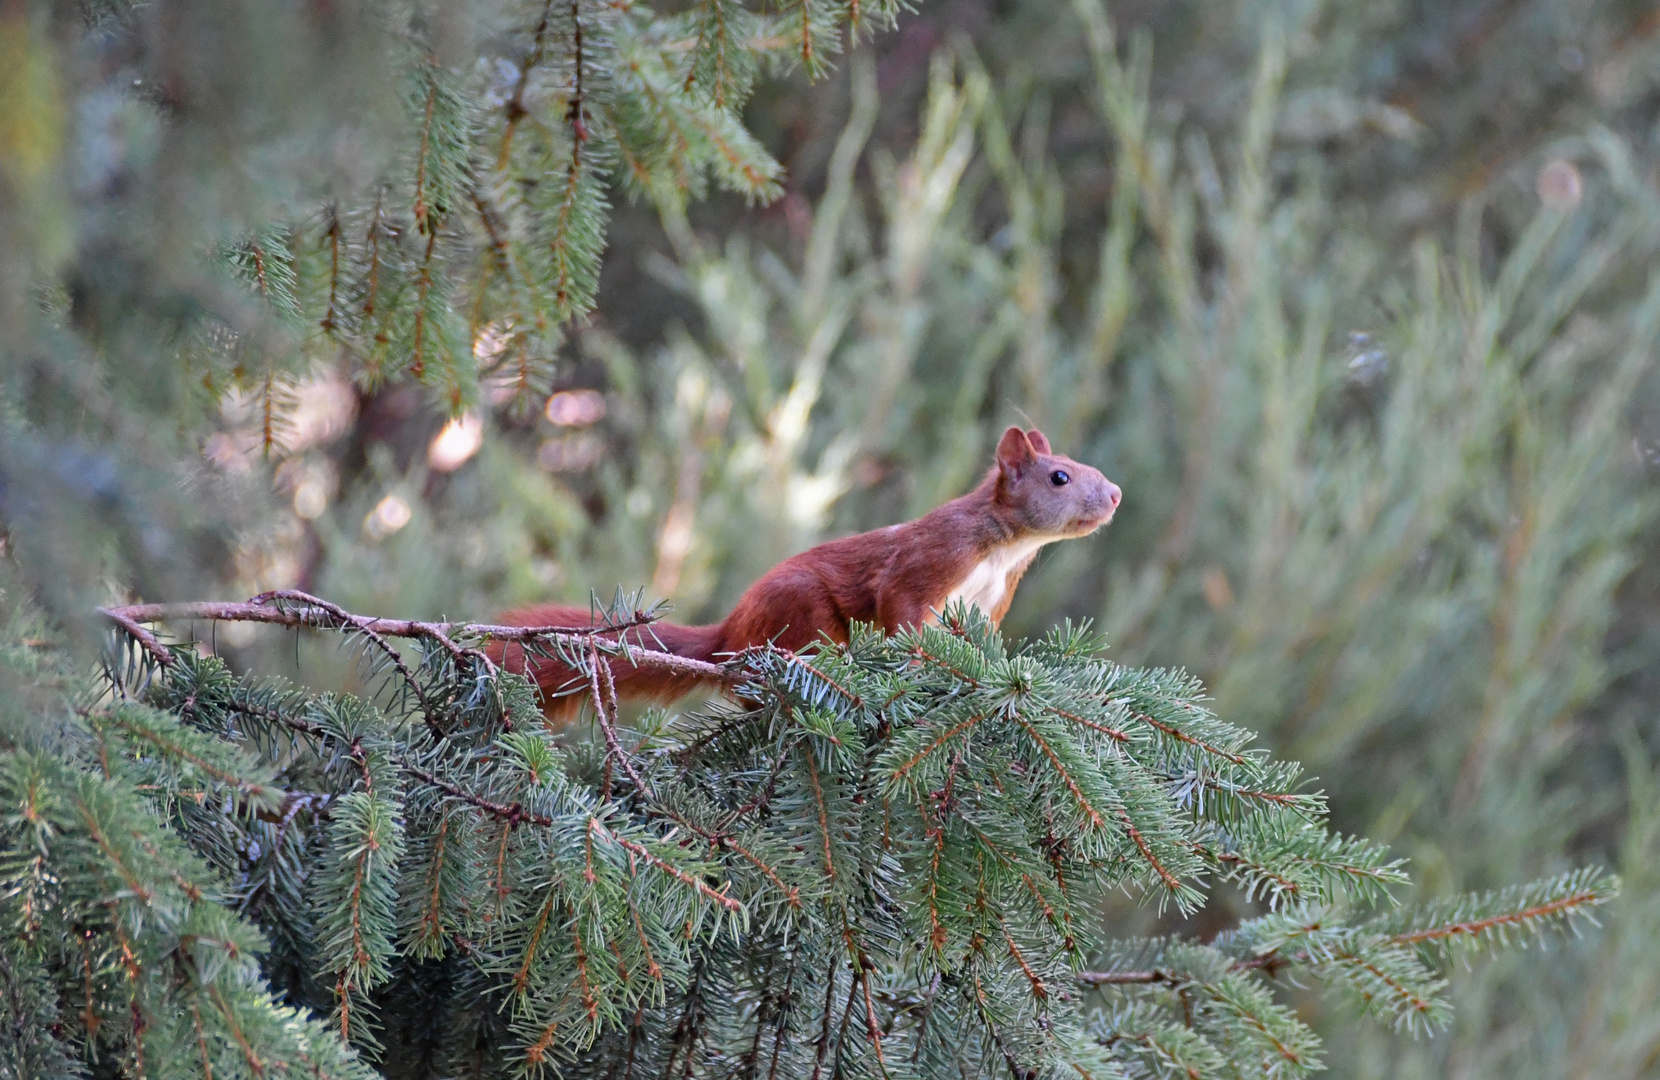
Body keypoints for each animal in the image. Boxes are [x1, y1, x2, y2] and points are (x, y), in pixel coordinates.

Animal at [488, 428, 1115, 713]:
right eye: (1059, 476)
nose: (1115, 495)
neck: (1004, 549)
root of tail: (727, 635)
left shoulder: (989, 600)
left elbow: (978, 639)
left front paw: (987, 669)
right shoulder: (933, 556)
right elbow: (902, 608)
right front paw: (917, 669)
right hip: (801, 608)